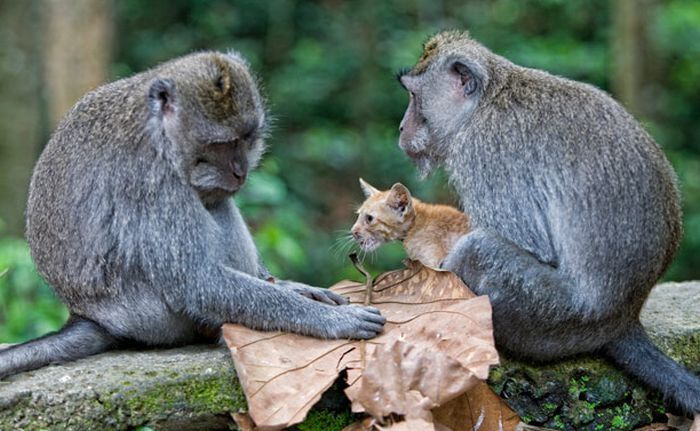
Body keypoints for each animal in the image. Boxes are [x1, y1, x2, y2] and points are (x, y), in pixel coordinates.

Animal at [0, 51, 382, 382]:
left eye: (245, 138)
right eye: (219, 145)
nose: (240, 171)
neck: (158, 129)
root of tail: (89, 316)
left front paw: (291, 287)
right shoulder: (152, 179)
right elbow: (197, 282)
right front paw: (333, 320)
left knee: (214, 202)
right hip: (153, 318)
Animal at [396, 31, 696, 418]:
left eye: (414, 96)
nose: (401, 127)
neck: (485, 103)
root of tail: (624, 317)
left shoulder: (486, 154)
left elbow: (529, 244)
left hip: (555, 317)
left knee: (479, 249)